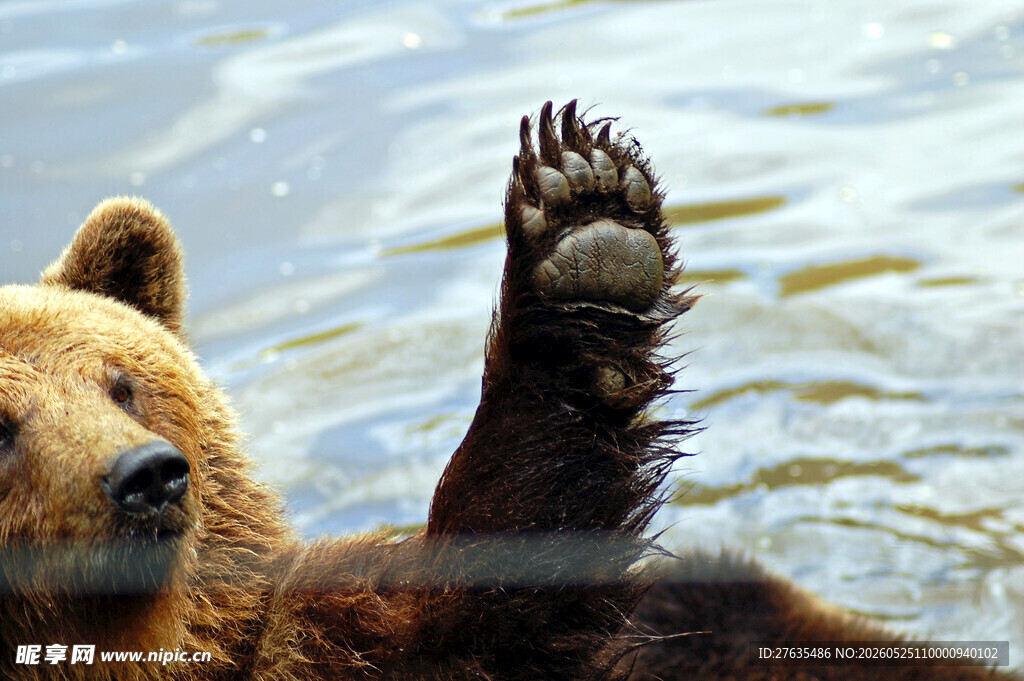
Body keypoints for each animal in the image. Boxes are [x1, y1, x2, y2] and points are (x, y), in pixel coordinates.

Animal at [0, 101, 1015, 681]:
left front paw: (585, 224)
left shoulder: (329, 638)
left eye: (124, 385)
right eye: (6, 424)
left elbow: (497, 585)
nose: (149, 476)